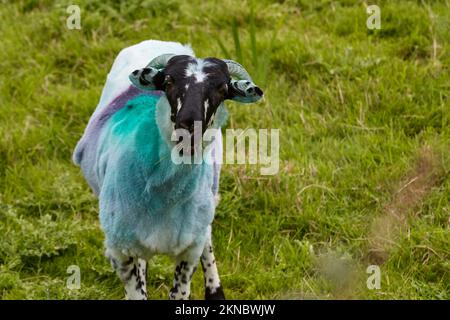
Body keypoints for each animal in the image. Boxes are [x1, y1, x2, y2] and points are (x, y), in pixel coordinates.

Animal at [73, 40, 264, 300]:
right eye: (168, 81)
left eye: (223, 89)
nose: (188, 126)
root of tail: (156, 41)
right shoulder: (119, 250)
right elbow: (136, 292)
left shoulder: (188, 250)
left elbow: (180, 290)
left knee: (208, 239)